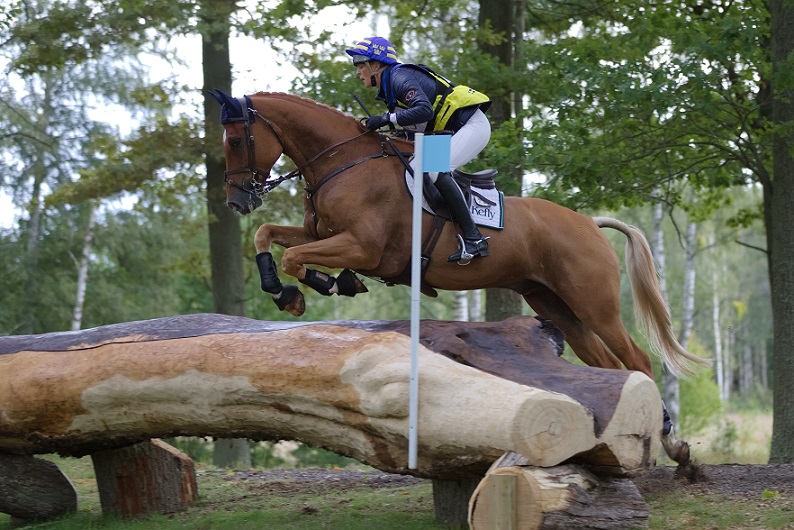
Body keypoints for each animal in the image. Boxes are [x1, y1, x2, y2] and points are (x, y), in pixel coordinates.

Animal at [209, 87, 704, 462]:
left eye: (234, 141)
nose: (237, 200)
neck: (343, 164)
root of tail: (588, 222)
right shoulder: (319, 234)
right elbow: (269, 237)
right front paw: (283, 291)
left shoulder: (364, 248)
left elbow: (297, 258)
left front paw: (319, 285)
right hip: (559, 308)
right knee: (606, 366)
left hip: (594, 304)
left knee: (637, 361)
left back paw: (670, 442)